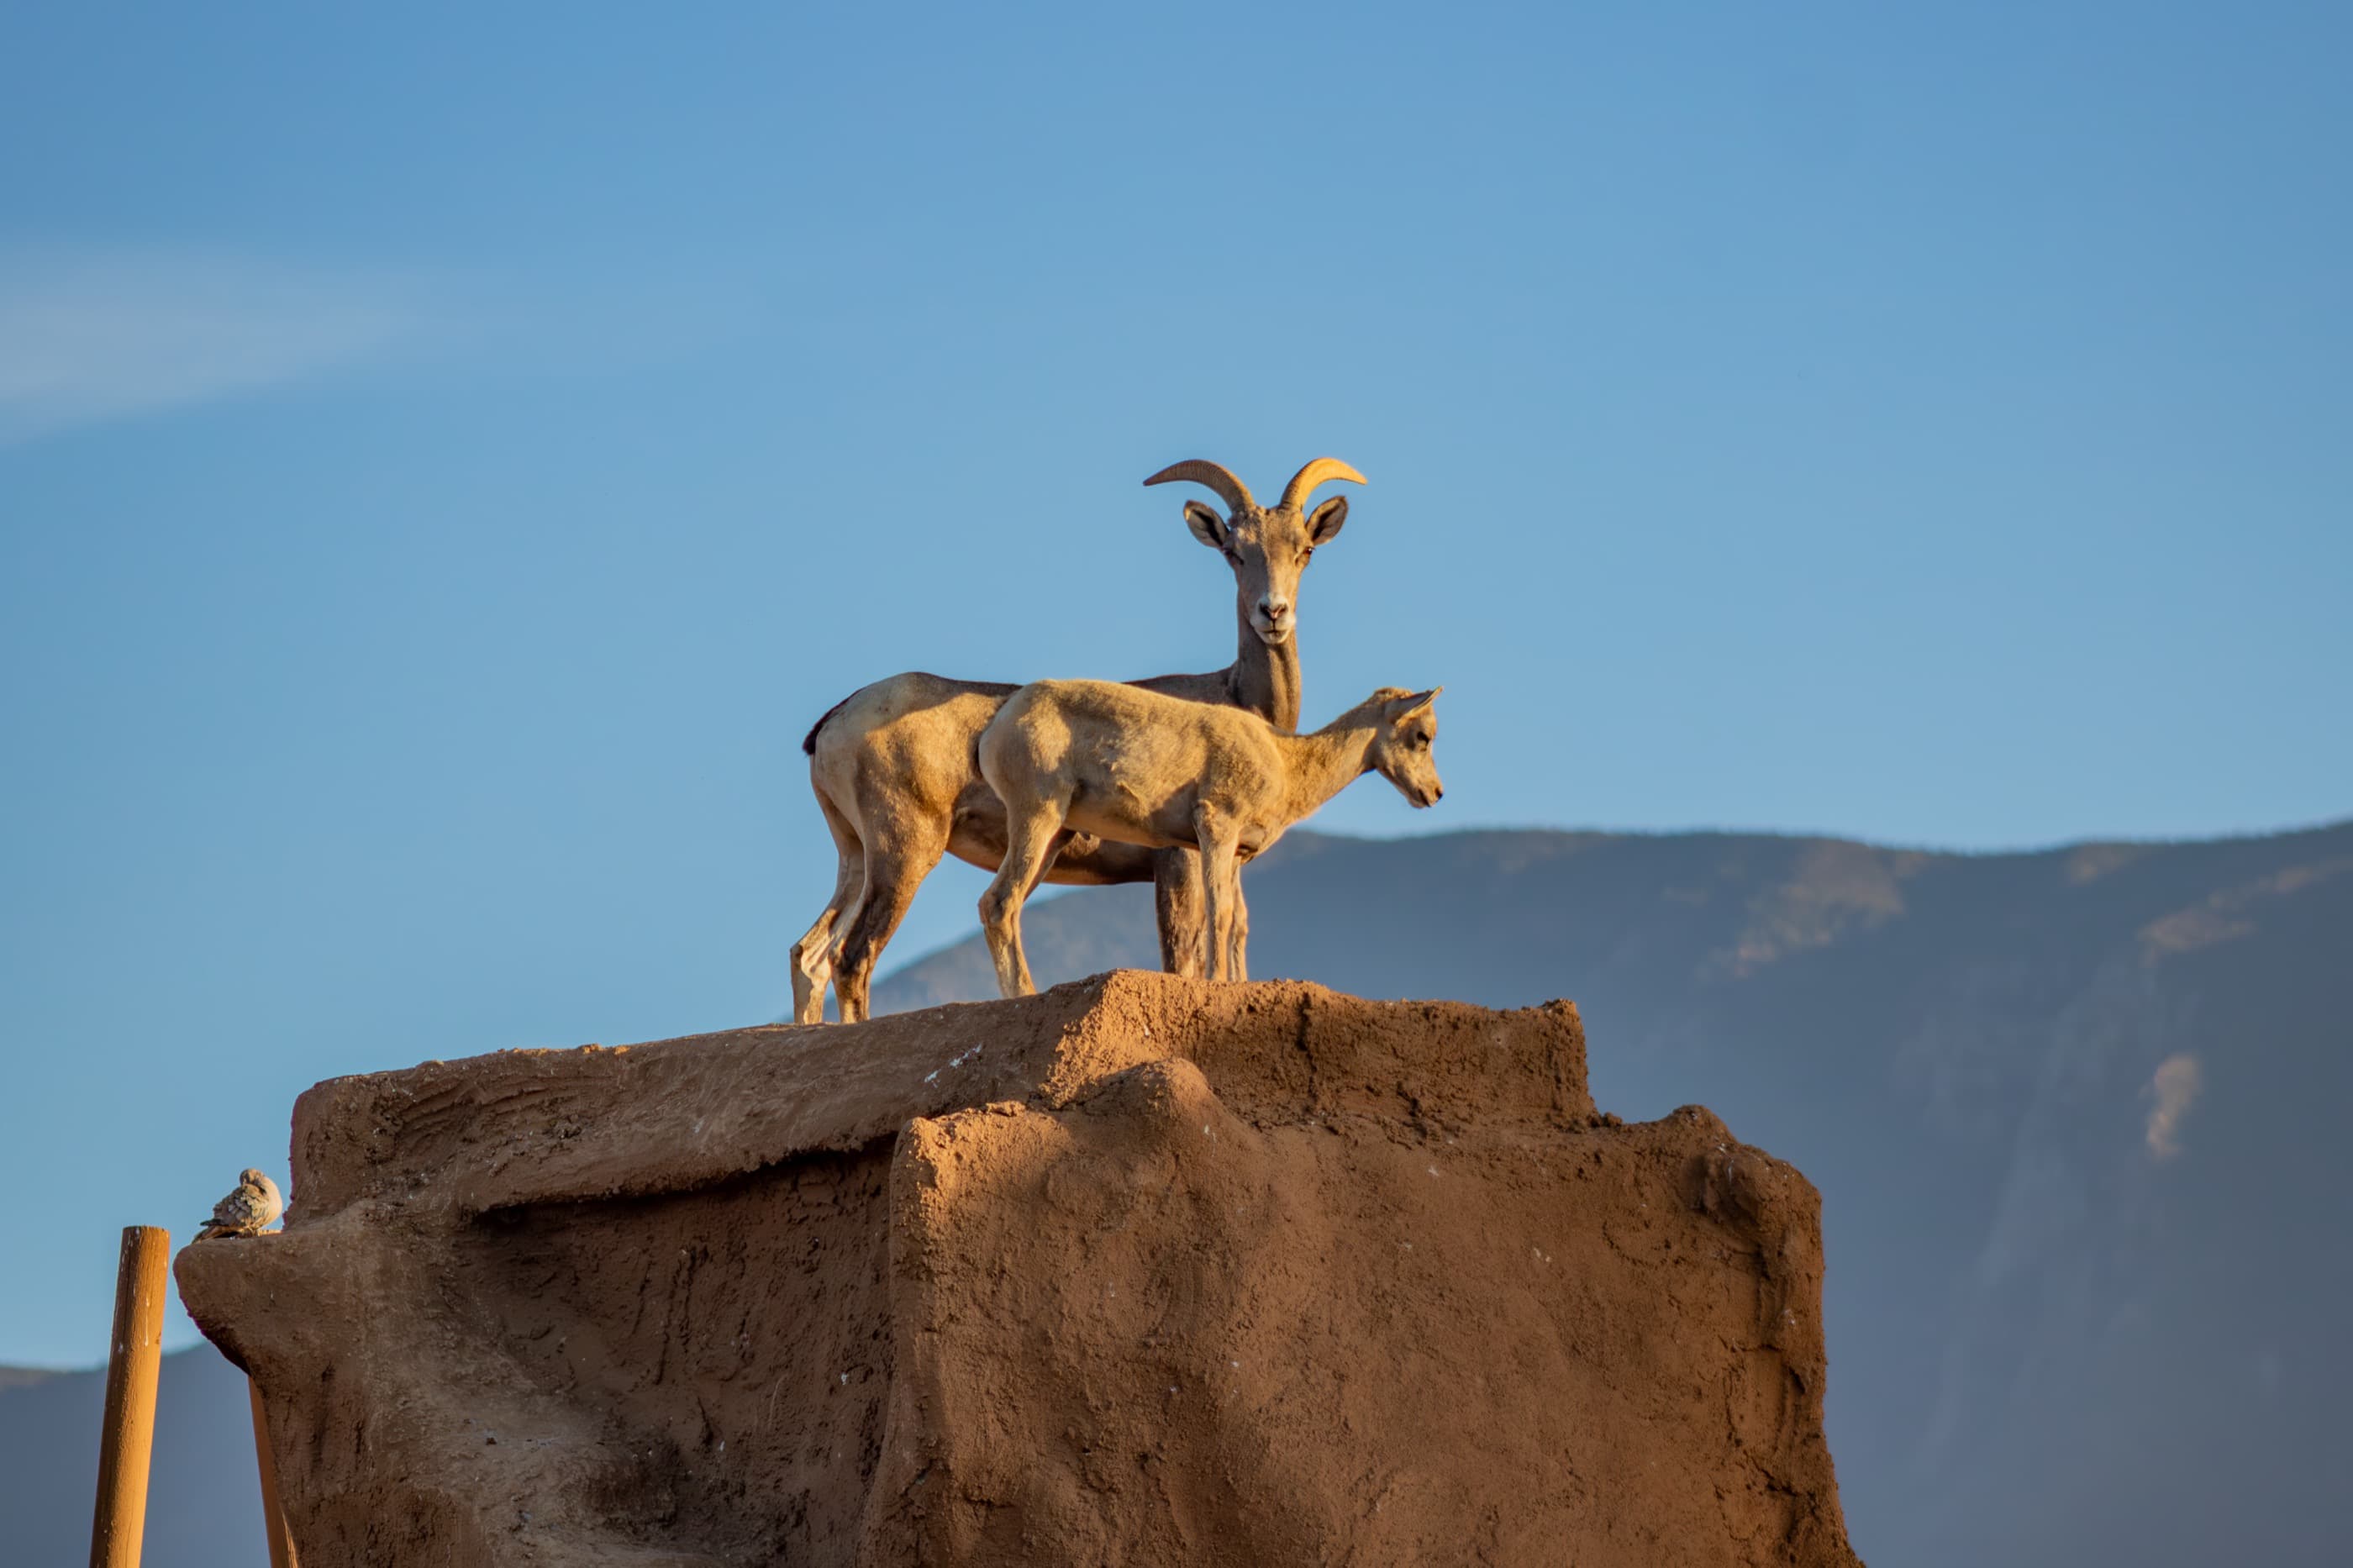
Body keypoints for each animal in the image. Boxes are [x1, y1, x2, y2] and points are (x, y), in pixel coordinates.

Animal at [789, 458, 1364, 1024]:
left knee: (810, 954)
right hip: (905, 852)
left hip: (855, 855)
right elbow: (1183, 959)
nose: (1273, 612)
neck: (1236, 699)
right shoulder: (1177, 862)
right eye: (1234, 553)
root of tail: (834, 724)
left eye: (1304, 550)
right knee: (854, 957)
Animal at [974, 682, 1444, 997]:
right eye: (1422, 737)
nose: (1436, 794)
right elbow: (1219, 913)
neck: (1287, 764)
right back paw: (1027, 994)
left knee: (1001, 905)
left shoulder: (1235, 854)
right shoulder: (1217, 827)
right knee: (999, 902)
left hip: (1056, 835)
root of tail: (997, 726)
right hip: (1037, 815)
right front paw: (1219, 982)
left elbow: (1237, 921)